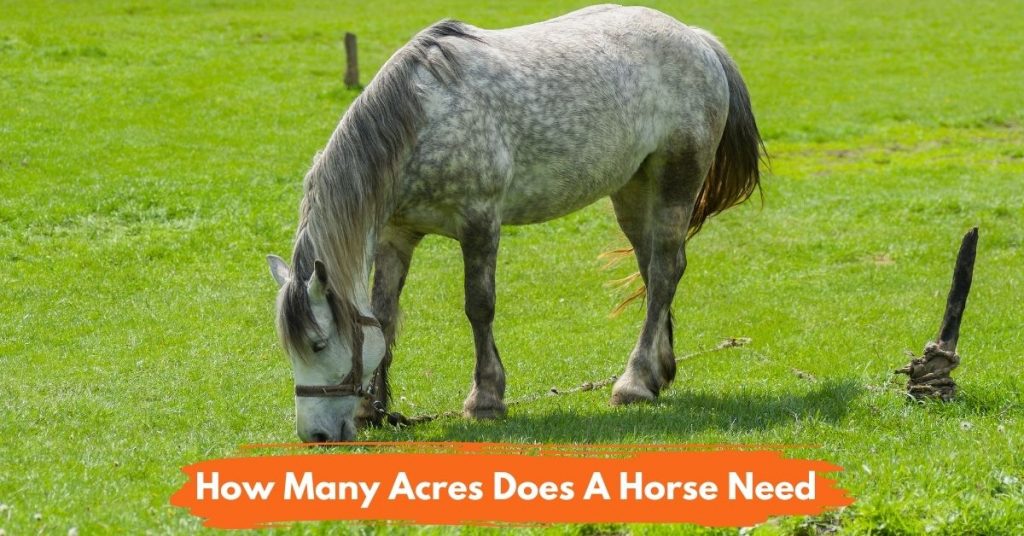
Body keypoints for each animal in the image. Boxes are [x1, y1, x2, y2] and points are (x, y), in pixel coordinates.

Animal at [266, 4, 764, 442]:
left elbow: (479, 307)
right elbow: (384, 317)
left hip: (675, 183)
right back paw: (658, 371)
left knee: (662, 274)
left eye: (316, 344)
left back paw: (634, 383)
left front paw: (485, 398)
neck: (421, 121)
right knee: (655, 270)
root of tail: (696, 39)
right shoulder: (396, 235)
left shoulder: (480, 223)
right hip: (632, 190)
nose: (315, 435)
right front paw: (372, 408)